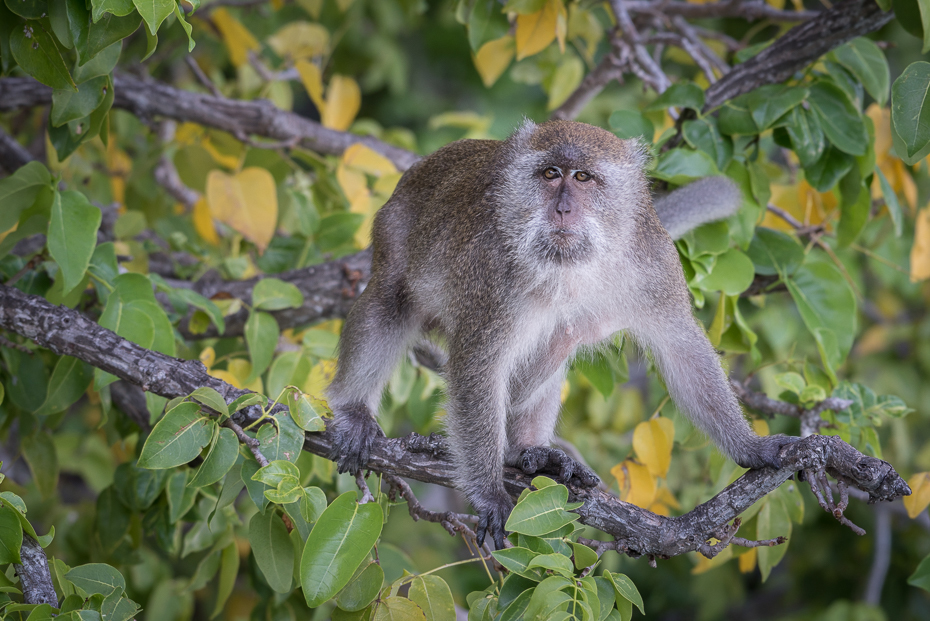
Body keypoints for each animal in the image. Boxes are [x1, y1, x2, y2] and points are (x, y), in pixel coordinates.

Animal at [324, 120, 792, 548]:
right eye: (550, 173)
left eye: (583, 177)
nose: (562, 209)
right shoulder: (493, 274)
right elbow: (478, 364)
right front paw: (489, 493)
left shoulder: (652, 261)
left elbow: (682, 349)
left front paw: (752, 449)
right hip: (394, 226)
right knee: (390, 302)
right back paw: (354, 409)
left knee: (560, 338)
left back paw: (525, 451)